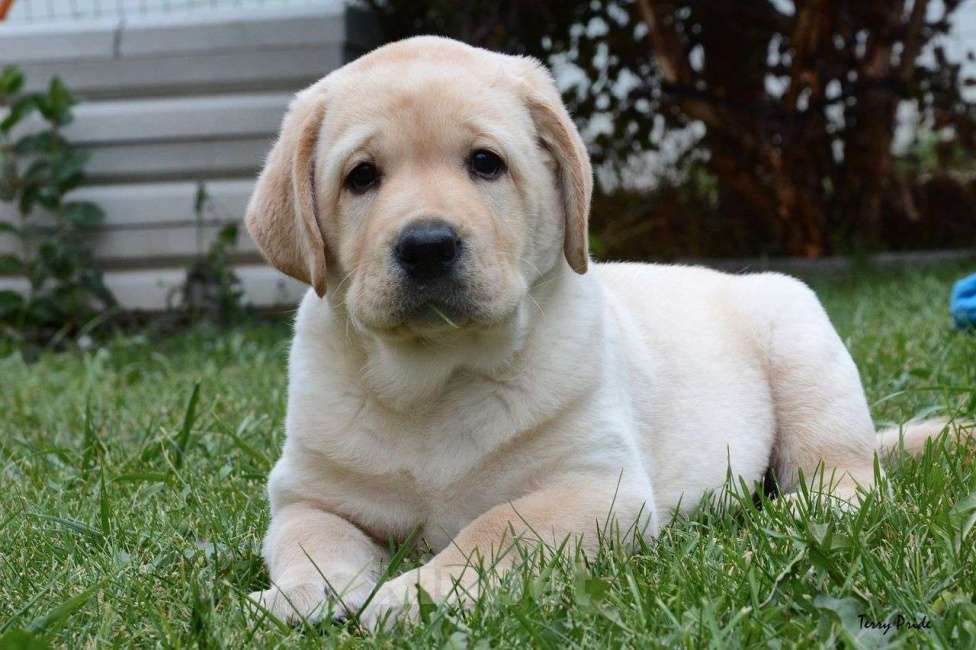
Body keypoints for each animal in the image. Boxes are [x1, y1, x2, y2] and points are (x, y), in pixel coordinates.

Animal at [244, 35, 944, 628]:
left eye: (485, 163)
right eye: (361, 176)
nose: (427, 245)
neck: (436, 378)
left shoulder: (595, 488)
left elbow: (497, 528)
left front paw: (415, 593)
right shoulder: (306, 494)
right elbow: (310, 539)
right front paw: (300, 594)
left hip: (803, 347)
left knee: (852, 480)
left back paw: (798, 507)